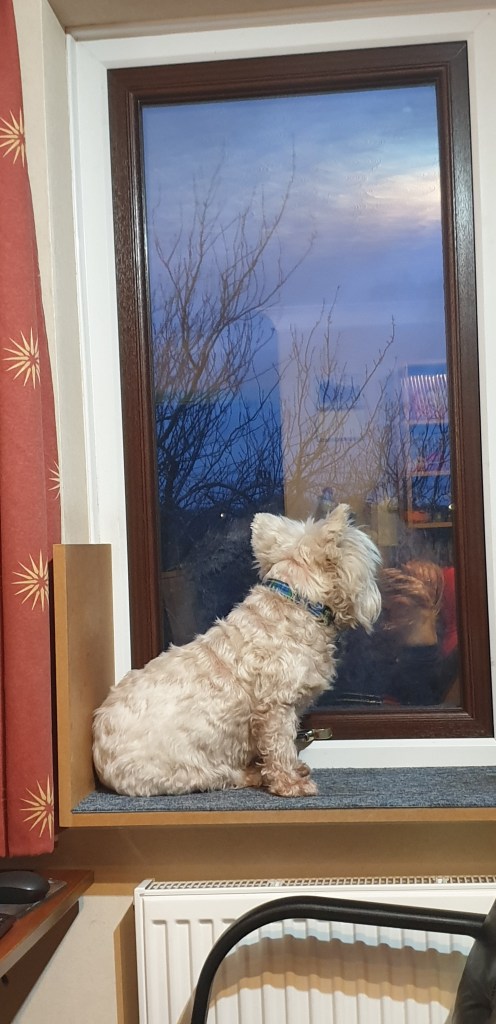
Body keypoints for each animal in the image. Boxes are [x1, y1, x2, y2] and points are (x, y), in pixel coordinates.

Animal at [92, 504, 381, 798]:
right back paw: (254, 773)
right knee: (221, 776)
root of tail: (100, 759)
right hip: (187, 766)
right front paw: (290, 783)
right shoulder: (277, 707)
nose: (376, 602)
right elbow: (281, 747)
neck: (298, 603)